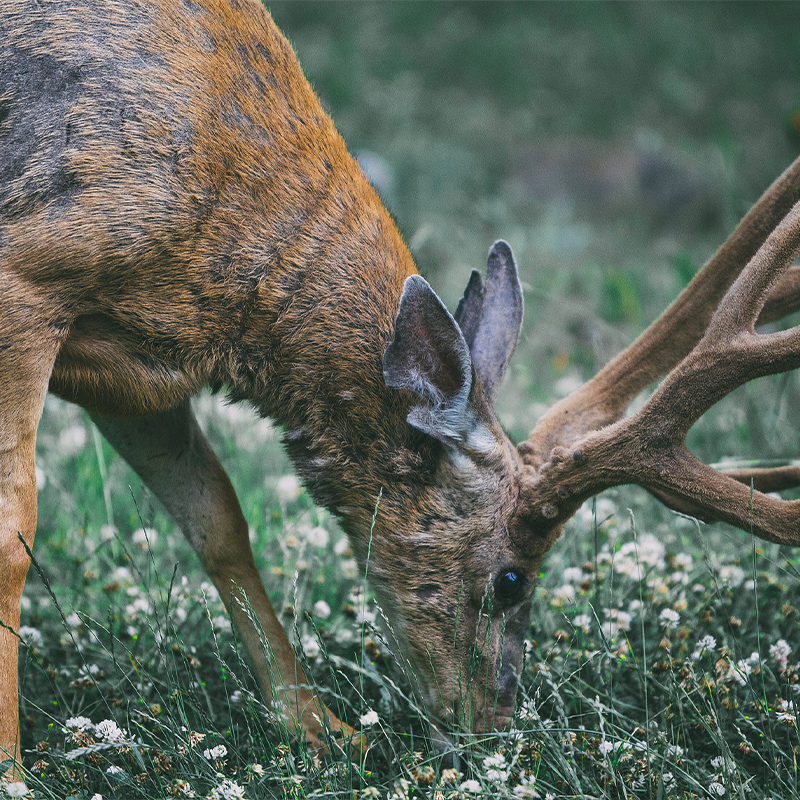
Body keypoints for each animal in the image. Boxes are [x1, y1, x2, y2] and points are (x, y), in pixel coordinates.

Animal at [3, 0, 800, 777]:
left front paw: (317, 730)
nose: (492, 730)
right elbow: (16, 535)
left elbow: (218, 519)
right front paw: (12, 767)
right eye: (511, 579)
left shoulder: (137, 372)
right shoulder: (31, 278)